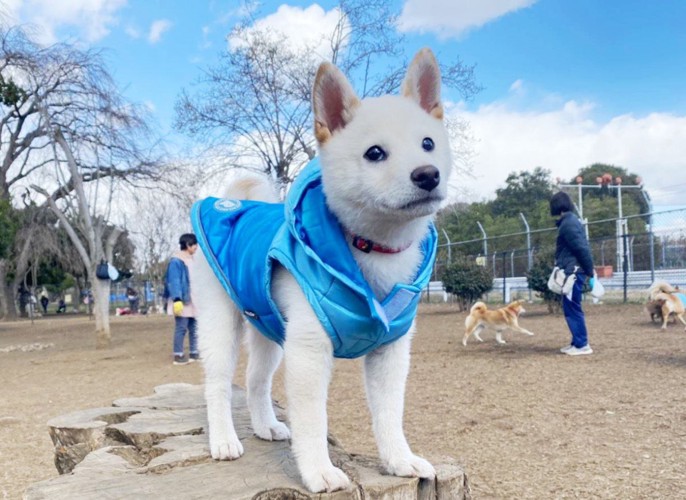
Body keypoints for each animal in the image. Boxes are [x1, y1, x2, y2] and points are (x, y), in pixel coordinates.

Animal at [191, 48, 454, 494]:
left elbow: (389, 415)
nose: (427, 174)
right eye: (375, 153)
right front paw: (319, 471)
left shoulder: (390, 351)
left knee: (256, 380)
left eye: (428, 144)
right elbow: (314, 420)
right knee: (218, 384)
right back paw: (224, 440)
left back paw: (266, 426)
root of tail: (232, 202)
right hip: (220, 325)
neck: (371, 250)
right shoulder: (310, 352)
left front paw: (399, 460)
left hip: (270, 330)